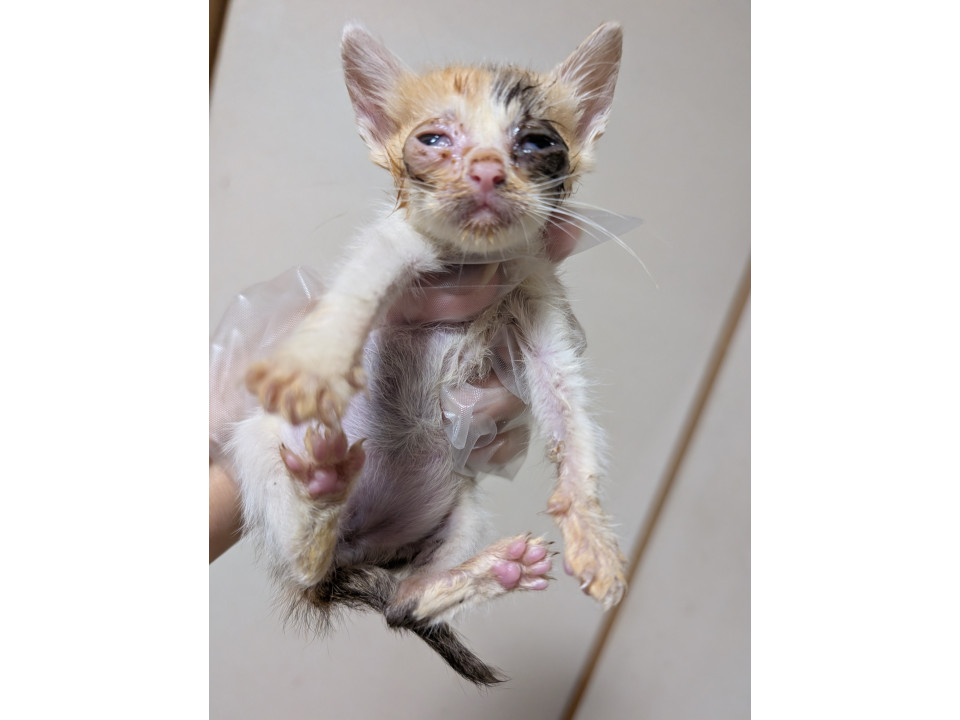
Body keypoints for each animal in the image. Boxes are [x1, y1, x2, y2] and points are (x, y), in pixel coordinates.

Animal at [228, 21, 628, 685]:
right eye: (434, 139)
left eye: (537, 141)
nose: (487, 170)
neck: (473, 262)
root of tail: (359, 554)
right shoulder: (396, 242)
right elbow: (359, 287)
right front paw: (314, 365)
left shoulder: (539, 303)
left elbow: (570, 415)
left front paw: (593, 535)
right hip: (260, 445)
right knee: (305, 562)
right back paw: (323, 489)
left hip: (459, 507)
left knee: (401, 607)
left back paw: (486, 572)